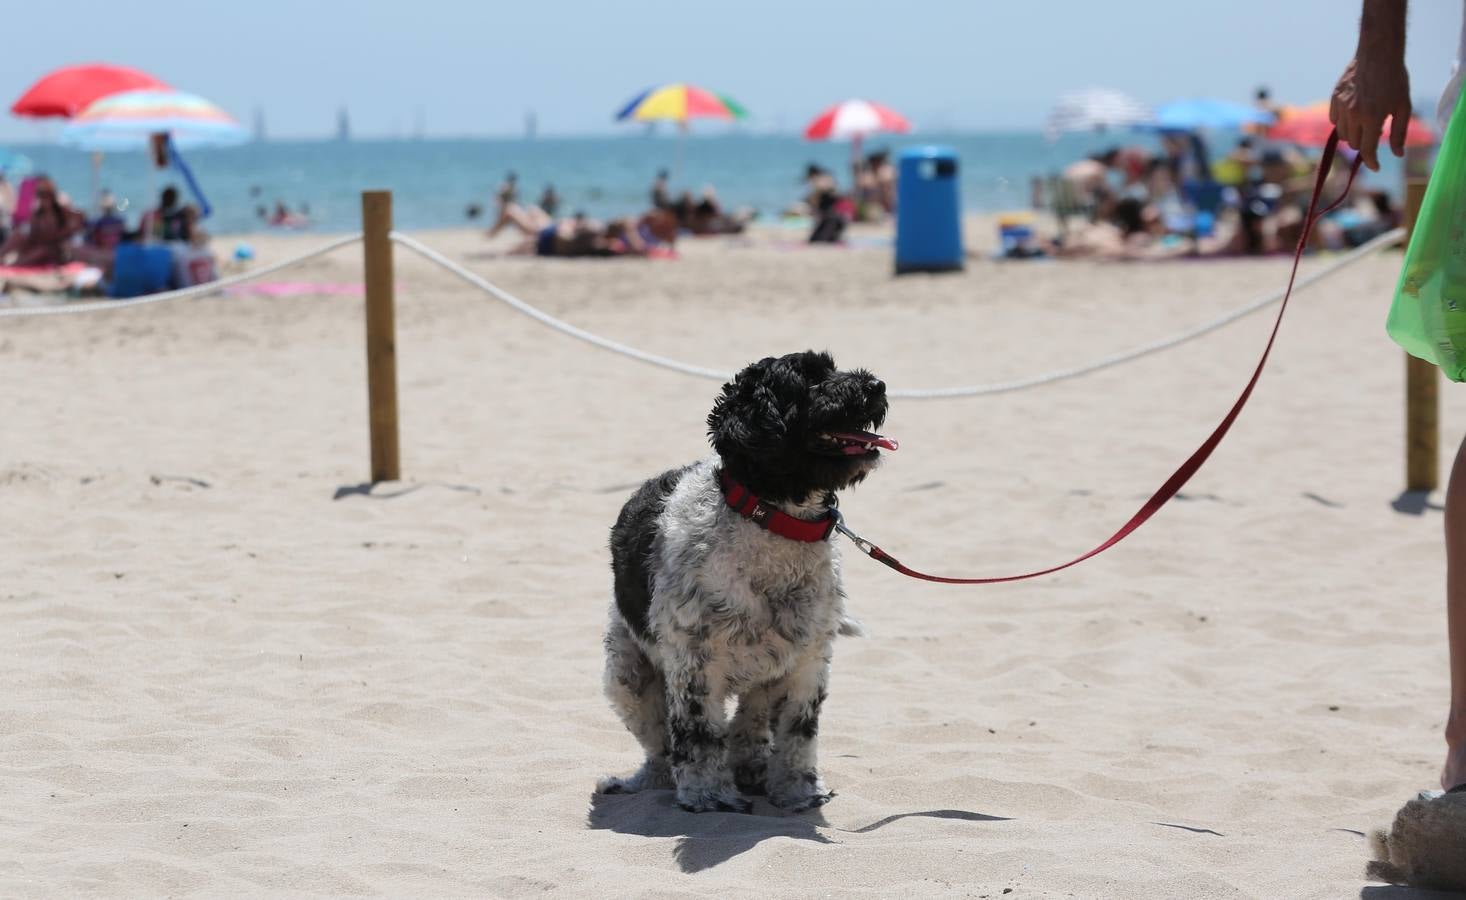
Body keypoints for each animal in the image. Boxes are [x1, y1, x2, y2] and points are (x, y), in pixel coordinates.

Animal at [595, 353, 891, 820]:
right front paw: (708, 795)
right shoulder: (694, 663)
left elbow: (797, 735)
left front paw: (797, 791)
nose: (877, 386)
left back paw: (751, 766)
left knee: (747, 722)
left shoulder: (807, 661)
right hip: (627, 676)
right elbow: (698, 735)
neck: (770, 520)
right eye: (810, 380)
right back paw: (645, 782)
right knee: (662, 748)